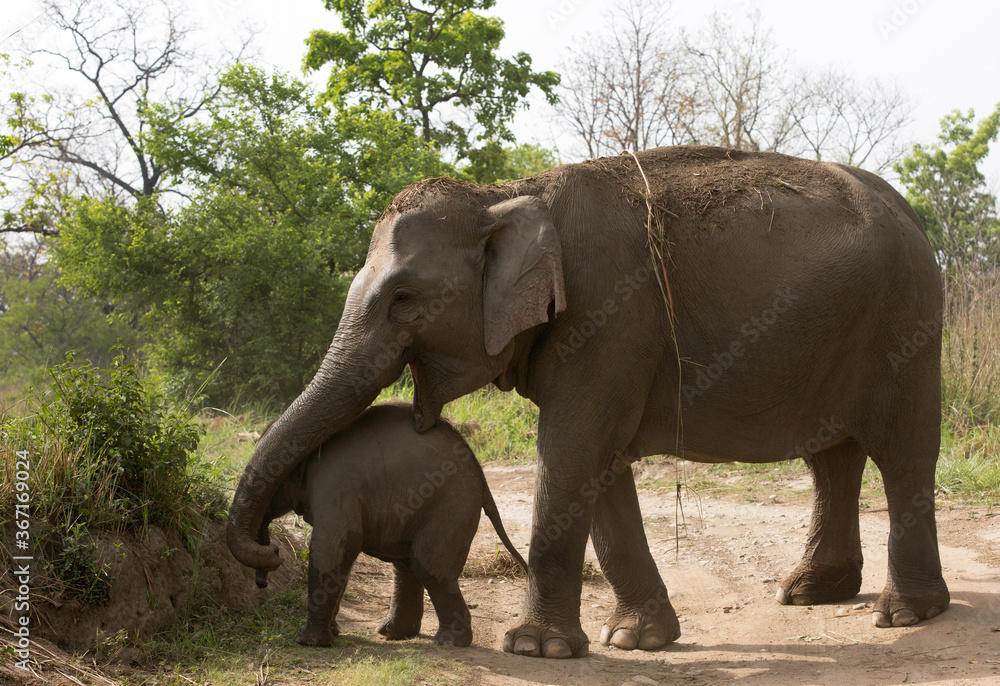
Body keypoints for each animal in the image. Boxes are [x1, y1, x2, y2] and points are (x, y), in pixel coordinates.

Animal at [250, 400, 524, 648]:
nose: (261, 583)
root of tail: (480, 474)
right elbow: (344, 553)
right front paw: (333, 633)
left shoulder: (335, 491)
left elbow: (331, 547)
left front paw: (309, 642)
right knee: (408, 563)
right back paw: (393, 633)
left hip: (452, 506)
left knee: (428, 564)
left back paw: (447, 642)